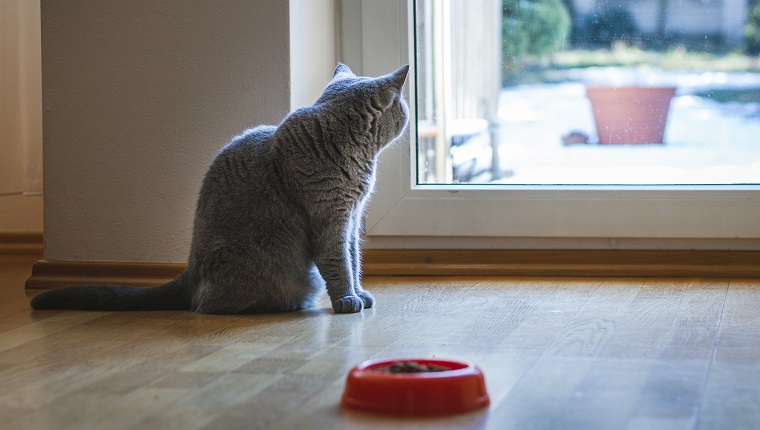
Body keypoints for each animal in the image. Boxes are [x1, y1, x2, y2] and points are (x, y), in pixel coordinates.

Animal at [30, 63, 410, 312]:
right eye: (404, 107)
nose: (408, 112)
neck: (356, 156)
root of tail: (190, 271)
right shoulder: (331, 219)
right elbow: (338, 263)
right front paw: (347, 300)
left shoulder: (352, 217)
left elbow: (354, 259)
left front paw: (360, 294)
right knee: (207, 305)